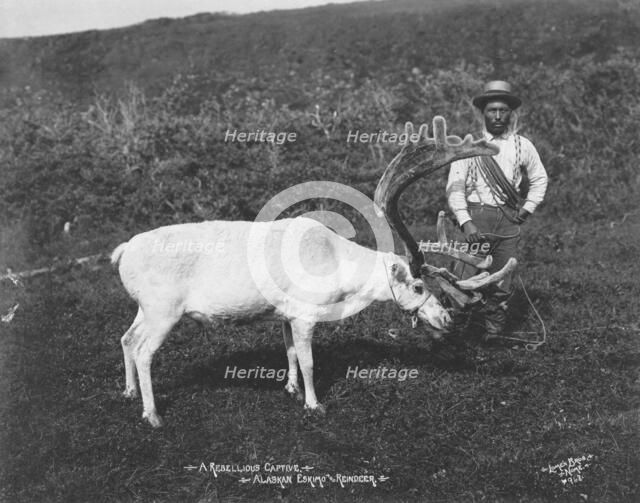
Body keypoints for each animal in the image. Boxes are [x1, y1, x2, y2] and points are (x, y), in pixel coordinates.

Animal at [111, 117, 516, 427]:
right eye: (418, 285)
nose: (447, 319)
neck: (339, 272)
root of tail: (123, 251)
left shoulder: (285, 314)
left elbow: (289, 352)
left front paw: (290, 389)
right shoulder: (306, 312)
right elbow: (307, 360)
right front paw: (314, 403)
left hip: (144, 307)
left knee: (127, 338)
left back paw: (128, 392)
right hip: (164, 310)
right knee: (144, 351)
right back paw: (152, 414)